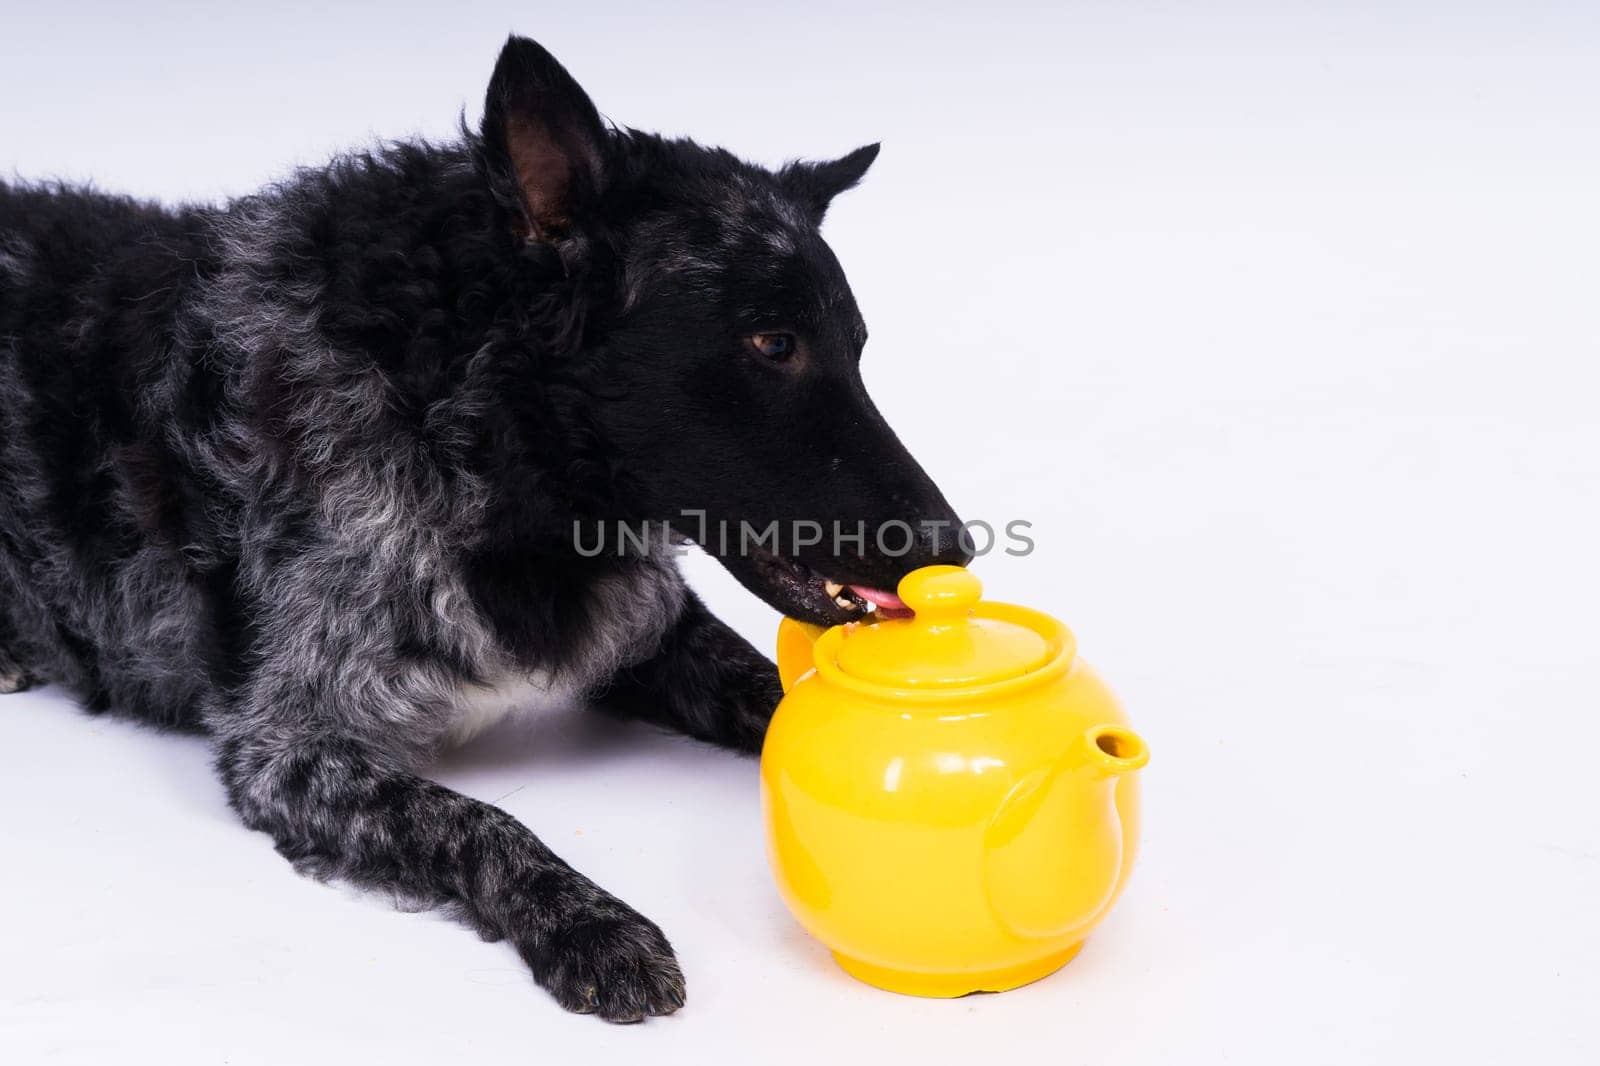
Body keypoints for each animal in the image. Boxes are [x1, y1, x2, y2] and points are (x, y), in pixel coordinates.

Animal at [0, 37, 960, 1017]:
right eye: (772, 345)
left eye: (856, 348)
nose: (954, 549)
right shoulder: (290, 747)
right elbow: (479, 821)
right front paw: (589, 923)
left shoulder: (653, 633)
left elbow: (778, 698)